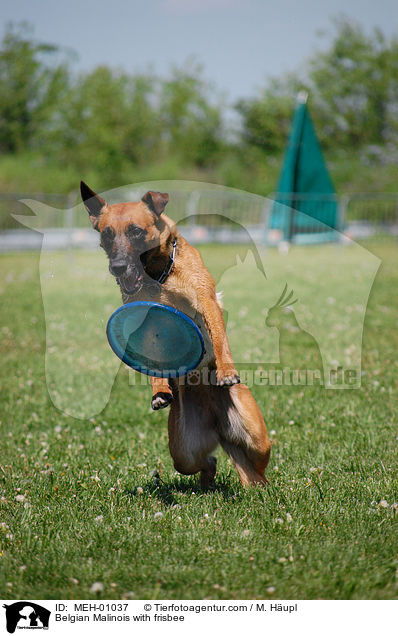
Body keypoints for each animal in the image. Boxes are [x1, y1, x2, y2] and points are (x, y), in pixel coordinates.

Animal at [80, 181, 270, 490]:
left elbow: (218, 338)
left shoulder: (206, 301)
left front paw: (226, 371)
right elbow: (151, 361)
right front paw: (159, 391)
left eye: (135, 231)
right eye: (107, 234)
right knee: (205, 463)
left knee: (258, 468)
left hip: (257, 438)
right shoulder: (143, 321)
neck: (158, 276)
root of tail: (216, 424)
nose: (118, 267)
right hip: (183, 449)